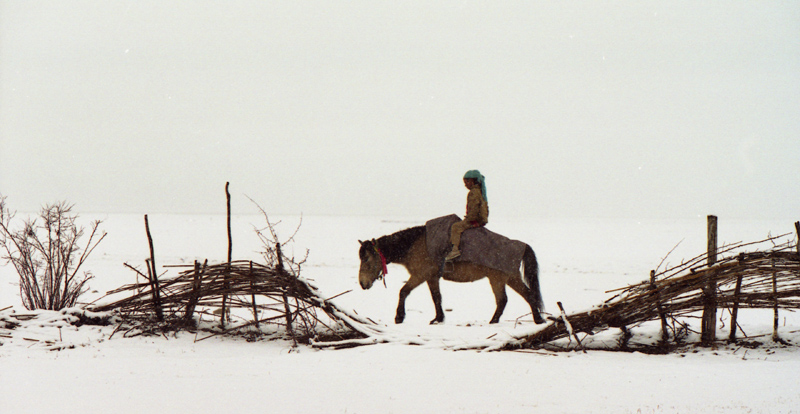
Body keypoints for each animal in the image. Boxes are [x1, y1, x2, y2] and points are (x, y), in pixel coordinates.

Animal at [360, 225, 548, 326]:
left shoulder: (420, 275)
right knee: (519, 297)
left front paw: (399, 317)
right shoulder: (431, 278)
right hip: (506, 279)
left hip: (501, 279)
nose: (362, 283)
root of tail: (521, 245)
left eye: (367, 259)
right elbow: (436, 297)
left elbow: (403, 291)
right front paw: (438, 318)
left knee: (511, 298)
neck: (414, 244)